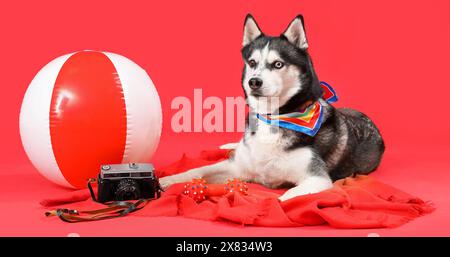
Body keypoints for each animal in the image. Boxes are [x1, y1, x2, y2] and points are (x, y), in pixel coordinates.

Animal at [160, 15, 384, 201]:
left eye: (278, 64)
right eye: (252, 62)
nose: (254, 82)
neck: (274, 117)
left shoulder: (317, 178)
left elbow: (285, 197)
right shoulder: (236, 167)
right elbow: (196, 171)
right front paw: (165, 181)